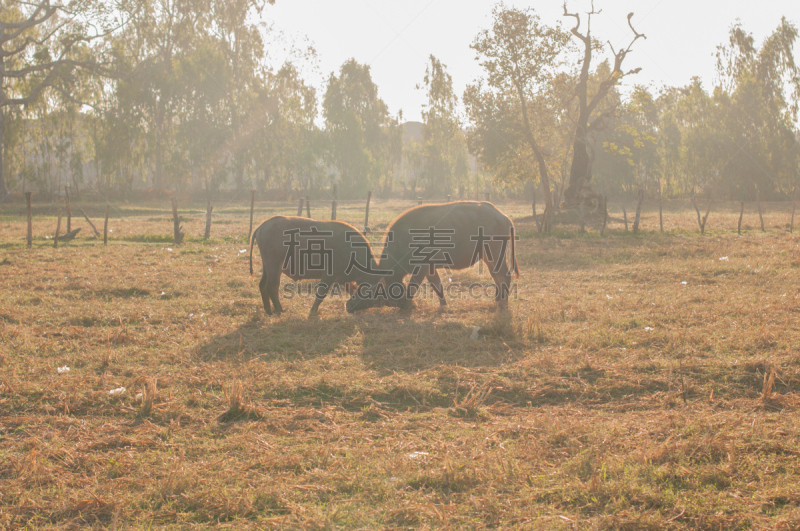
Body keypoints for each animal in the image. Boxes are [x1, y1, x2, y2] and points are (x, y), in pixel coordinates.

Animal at [248, 215, 380, 316]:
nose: (348, 307)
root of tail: (261, 227)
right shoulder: (328, 275)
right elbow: (321, 293)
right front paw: (312, 312)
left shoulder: (343, 278)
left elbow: (351, 289)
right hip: (274, 267)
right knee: (271, 287)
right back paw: (280, 311)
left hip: (266, 267)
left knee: (262, 285)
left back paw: (269, 311)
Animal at [344, 202, 520, 314]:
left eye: (367, 290)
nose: (348, 305)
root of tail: (503, 216)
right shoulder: (430, 268)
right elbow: (437, 285)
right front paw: (443, 305)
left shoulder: (421, 266)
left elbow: (413, 286)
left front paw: (406, 307)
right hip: (488, 257)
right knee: (497, 277)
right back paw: (497, 301)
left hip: (495, 253)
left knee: (504, 276)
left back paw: (502, 305)